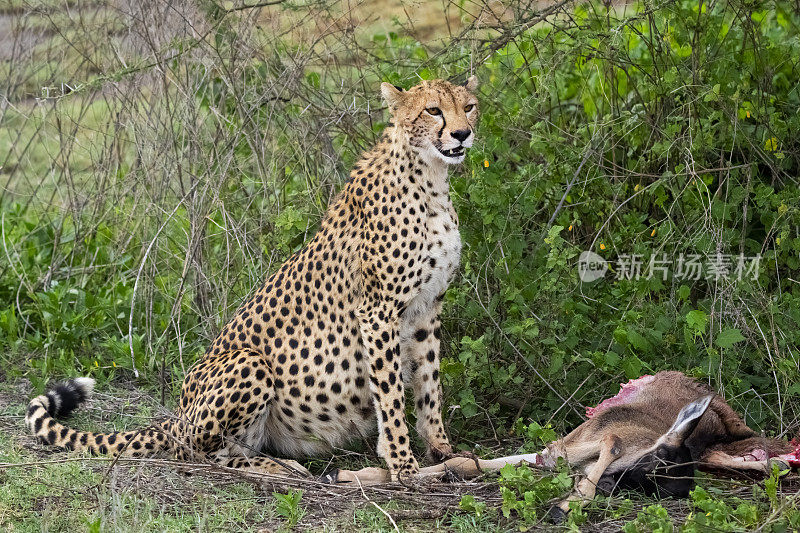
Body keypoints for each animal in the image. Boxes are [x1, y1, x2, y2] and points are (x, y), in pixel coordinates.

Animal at [25, 76, 482, 482]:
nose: (462, 133)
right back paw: (282, 468)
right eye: (433, 110)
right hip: (248, 363)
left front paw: (441, 450)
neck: (431, 178)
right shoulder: (378, 310)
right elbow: (390, 393)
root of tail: (177, 415)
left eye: (469, 106)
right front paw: (403, 464)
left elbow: (428, 382)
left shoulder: (426, 307)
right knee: (206, 454)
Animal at [326, 370, 800, 516]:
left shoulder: (564, 451)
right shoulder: (586, 439)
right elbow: (470, 463)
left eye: (658, 490)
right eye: (656, 463)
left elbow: (471, 464)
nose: (614, 484)